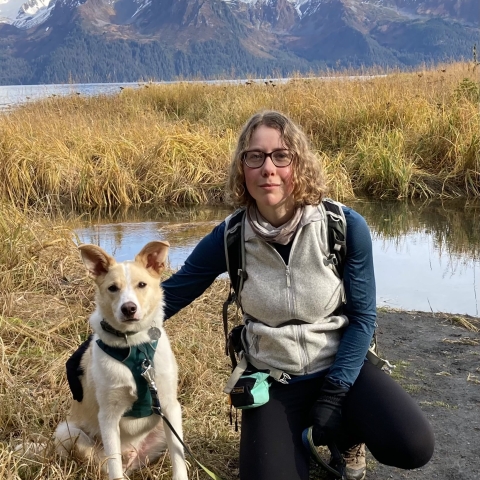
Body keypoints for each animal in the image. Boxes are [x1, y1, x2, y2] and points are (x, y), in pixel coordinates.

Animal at [53, 242, 187, 480]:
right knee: (108, 465)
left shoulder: (170, 407)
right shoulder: (108, 416)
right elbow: (113, 464)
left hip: (165, 426)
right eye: (112, 288)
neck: (135, 346)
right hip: (66, 432)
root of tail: (131, 456)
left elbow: (178, 457)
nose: (129, 308)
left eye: (141, 285)